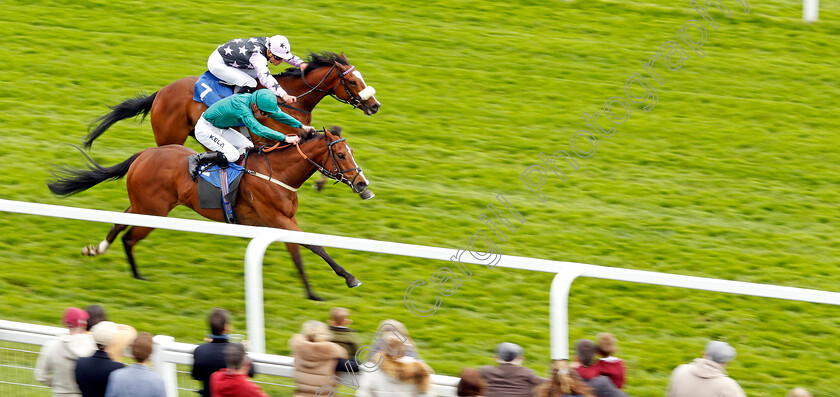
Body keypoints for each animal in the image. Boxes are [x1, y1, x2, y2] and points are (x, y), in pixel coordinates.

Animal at [50, 127, 366, 300]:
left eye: (350, 152)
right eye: (340, 155)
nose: (362, 184)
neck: (277, 173)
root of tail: (144, 153)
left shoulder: (284, 220)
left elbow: (299, 253)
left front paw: (311, 293)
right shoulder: (276, 218)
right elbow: (314, 245)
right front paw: (350, 277)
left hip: (142, 205)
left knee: (119, 224)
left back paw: (97, 249)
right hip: (153, 210)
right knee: (129, 238)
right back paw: (138, 276)